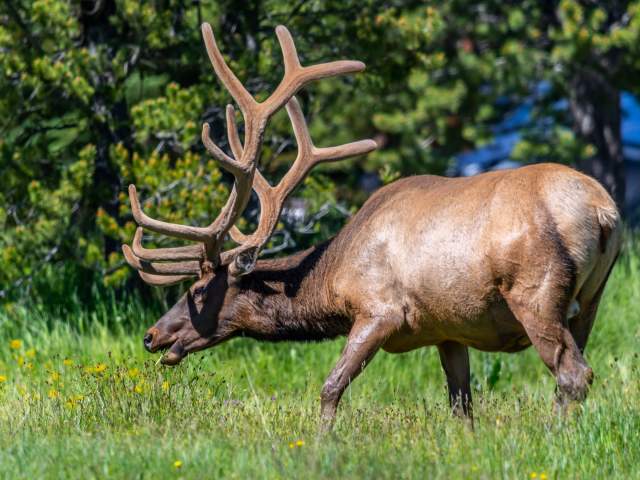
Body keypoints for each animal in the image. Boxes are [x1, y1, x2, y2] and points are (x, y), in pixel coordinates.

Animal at [122, 22, 622, 430]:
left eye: (198, 290)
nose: (151, 335)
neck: (330, 282)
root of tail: (604, 211)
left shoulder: (380, 310)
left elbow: (330, 388)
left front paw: (321, 444)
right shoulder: (448, 329)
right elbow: (461, 405)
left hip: (536, 291)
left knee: (572, 374)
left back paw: (554, 435)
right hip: (591, 299)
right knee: (574, 369)